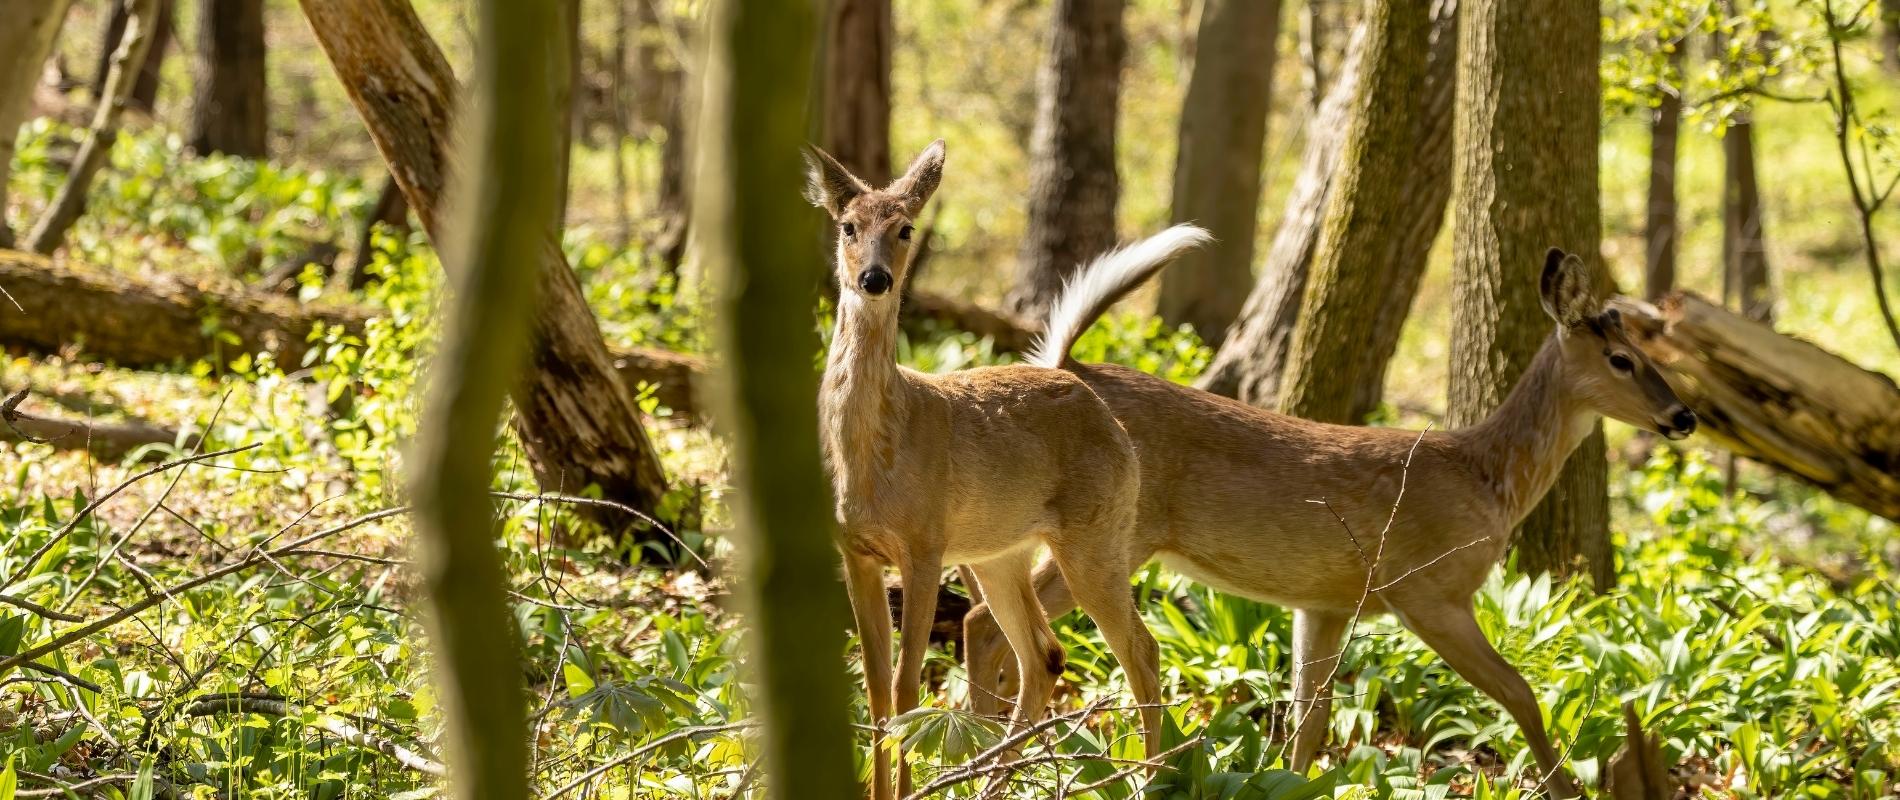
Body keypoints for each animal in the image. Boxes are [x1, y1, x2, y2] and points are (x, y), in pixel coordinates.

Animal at [805, 138, 1212, 800]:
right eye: (848, 226)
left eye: (905, 227)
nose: (874, 278)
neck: (873, 458)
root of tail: (1106, 416)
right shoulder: (856, 552)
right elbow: (875, 688)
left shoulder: (924, 545)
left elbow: (907, 686)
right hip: (1001, 553)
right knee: (1044, 655)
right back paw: (994, 779)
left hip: (1096, 537)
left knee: (1141, 651)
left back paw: (1149, 779)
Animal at [963, 247, 1697, 799]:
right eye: (1623, 360)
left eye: (1653, 353)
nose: (1684, 416)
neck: (1488, 476)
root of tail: (1070, 363)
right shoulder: (1426, 587)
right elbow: (1520, 691)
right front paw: (1565, 788)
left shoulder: (1325, 603)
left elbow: (1308, 720)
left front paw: (1288, 781)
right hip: (1113, 537)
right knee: (1007, 627)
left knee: (988, 621)